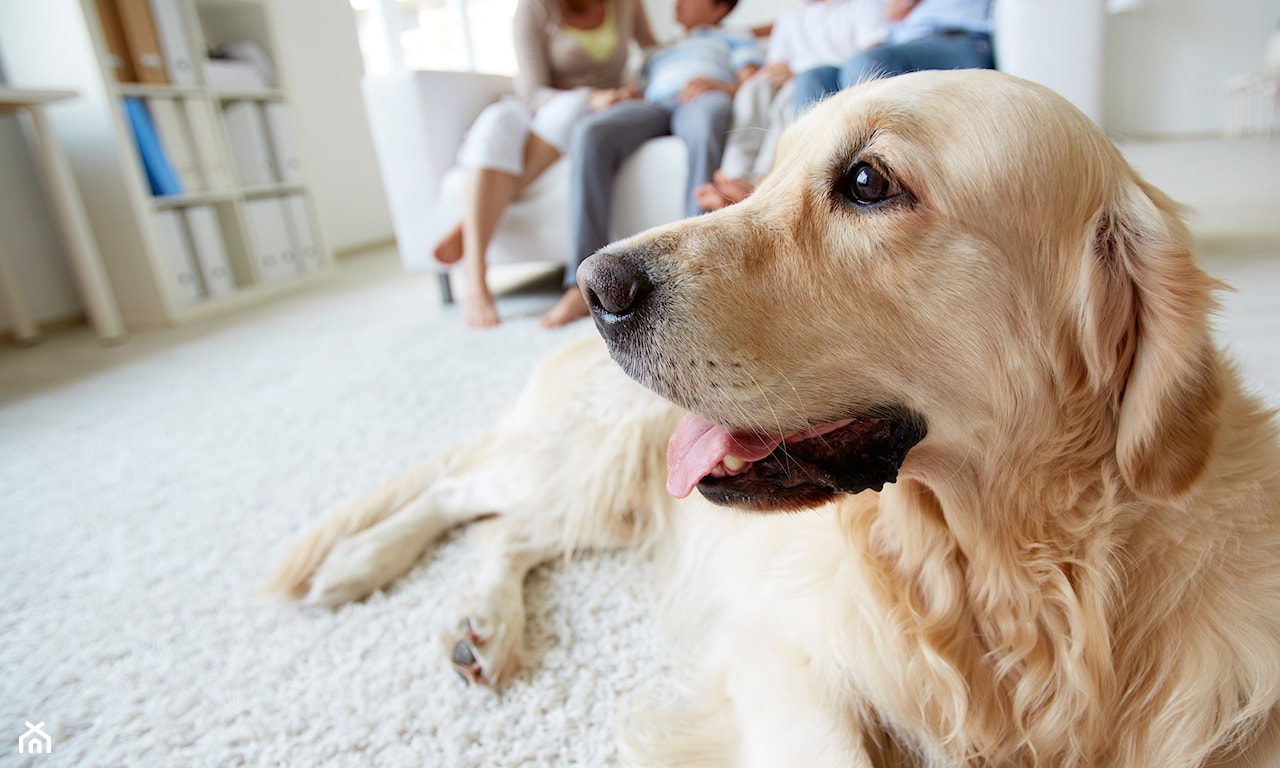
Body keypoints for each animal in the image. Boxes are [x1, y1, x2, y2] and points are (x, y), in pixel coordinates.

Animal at [262, 69, 1280, 762]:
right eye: (768, 174)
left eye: (867, 182)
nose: (593, 285)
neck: (1008, 575)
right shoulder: (783, 653)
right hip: (595, 459)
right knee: (470, 493)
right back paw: (363, 565)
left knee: (506, 527)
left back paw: (478, 624)